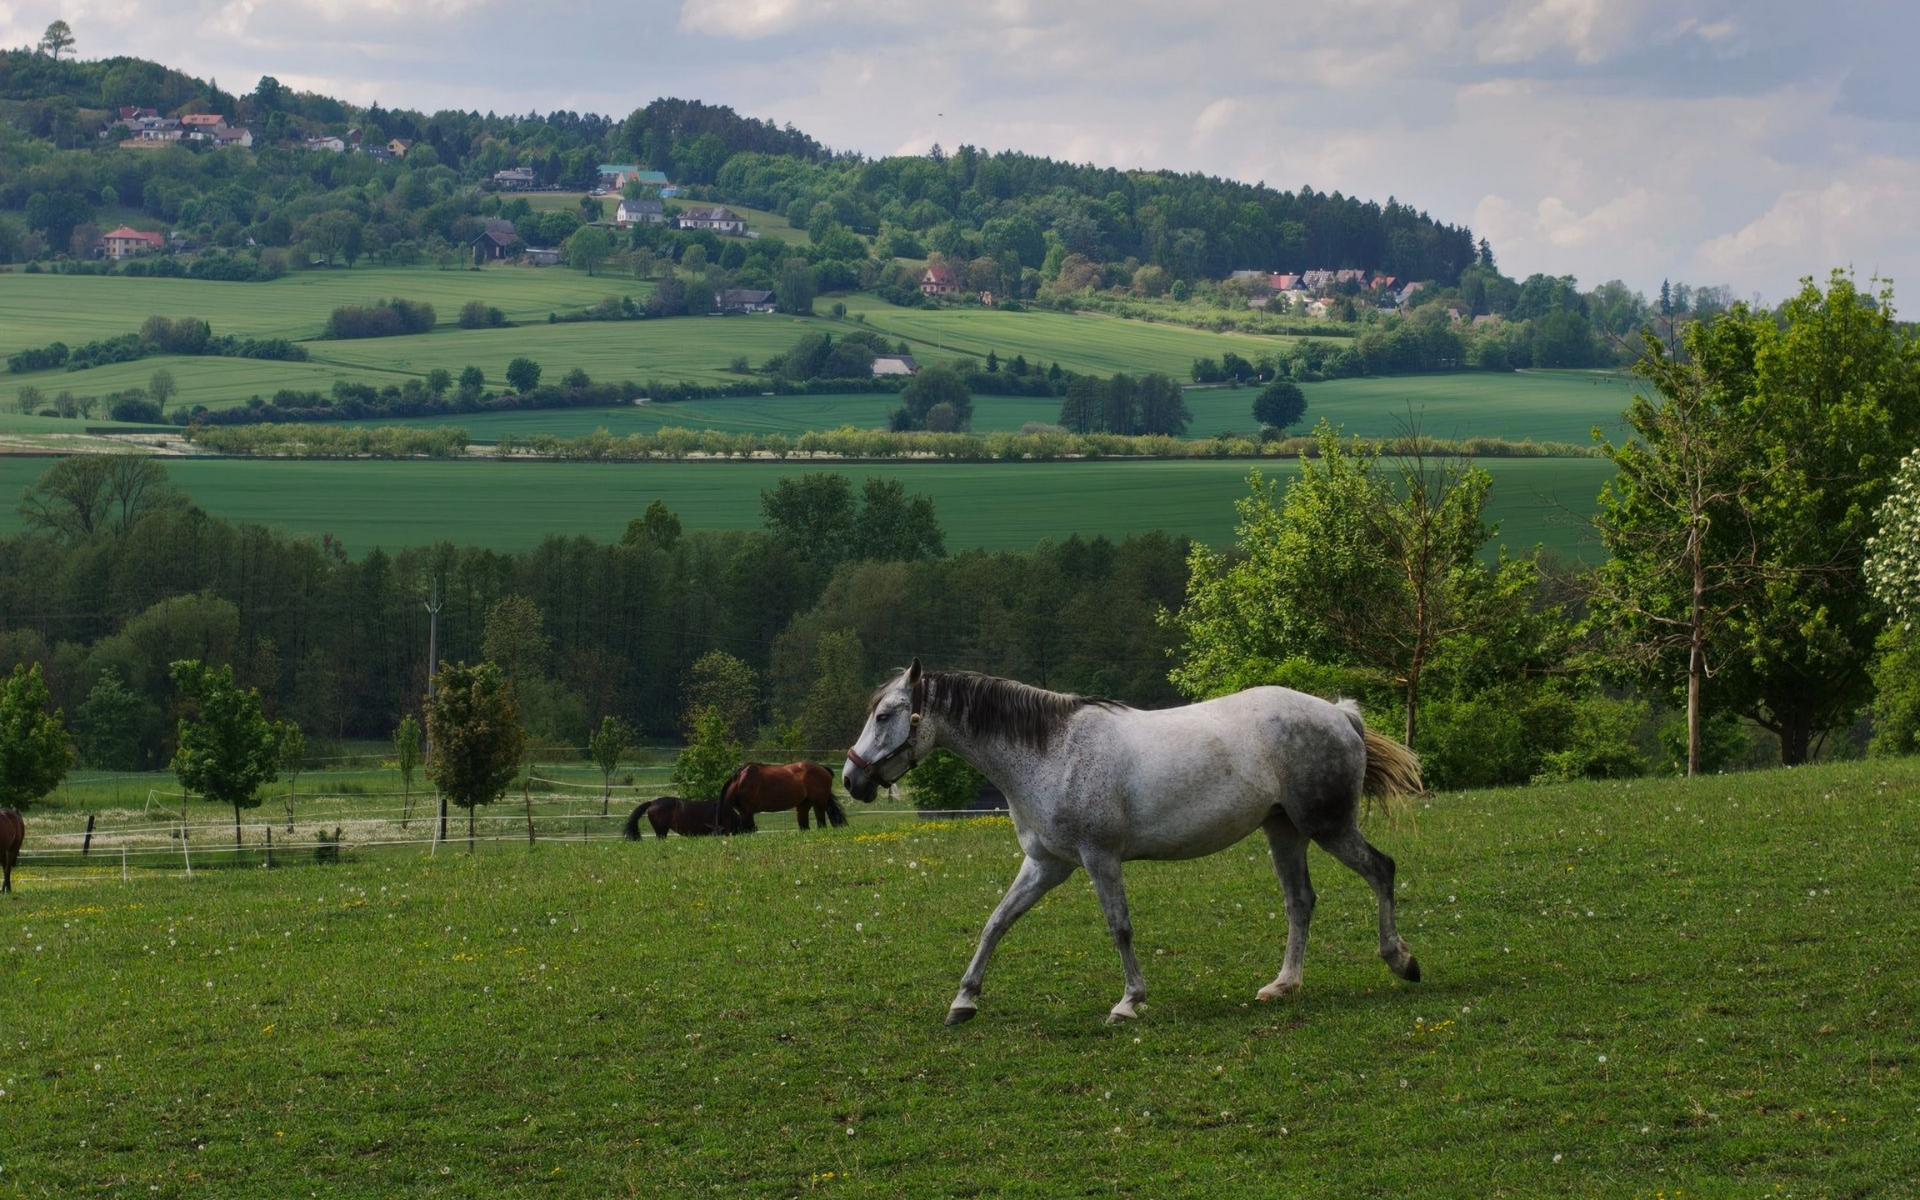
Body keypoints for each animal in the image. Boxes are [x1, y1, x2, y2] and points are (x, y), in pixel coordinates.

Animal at [842, 660, 1425, 1026]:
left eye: (885, 714)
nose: (851, 780)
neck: (1052, 751)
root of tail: (1339, 713)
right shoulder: (1046, 864)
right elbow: (996, 922)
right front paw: (964, 1001)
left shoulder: (1100, 859)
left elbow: (1119, 928)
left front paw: (1129, 1002)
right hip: (1284, 831)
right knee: (1300, 902)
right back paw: (1283, 985)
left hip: (1329, 827)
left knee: (1382, 870)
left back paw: (1401, 961)